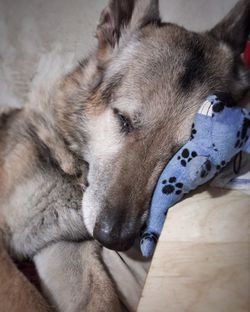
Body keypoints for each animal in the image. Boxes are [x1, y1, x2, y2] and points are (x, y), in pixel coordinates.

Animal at [0, 0, 249, 310]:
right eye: (123, 119)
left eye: (181, 151)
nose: (114, 239)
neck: (72, 165)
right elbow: (25, 296)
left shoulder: (64, 246)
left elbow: (101, 296)